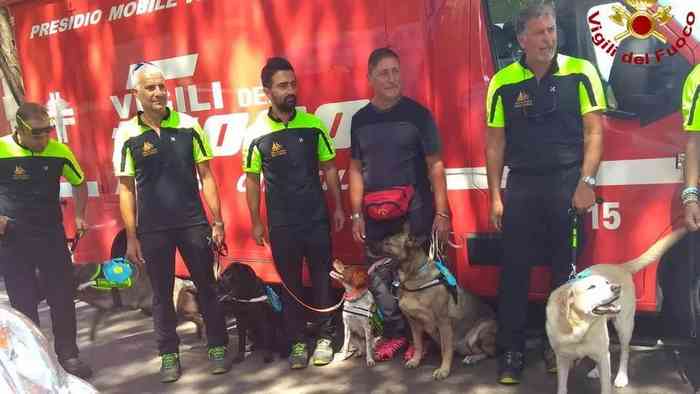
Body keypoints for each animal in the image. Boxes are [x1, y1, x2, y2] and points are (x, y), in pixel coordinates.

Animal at [372, 226, 498, 380]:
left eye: (387, 243)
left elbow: (445, 349)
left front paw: (443, 370)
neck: (413, 276)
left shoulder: (443, 323)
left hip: (477, 334)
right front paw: (415, 360)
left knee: (489, 353)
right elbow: (418, 344)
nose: (366, 243)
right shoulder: (414, 323)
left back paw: (473, 358)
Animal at [544, 225, 688, 394]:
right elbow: (562, 386)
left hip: (624, 326)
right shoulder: (562, 359)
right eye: (591, 287)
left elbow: (606, 384)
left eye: (607, 283)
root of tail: (620, 266)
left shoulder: (602, 353)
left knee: (624, 352)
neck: (578, 325)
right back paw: (596, 370)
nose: (616, 287)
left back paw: (621, 377)